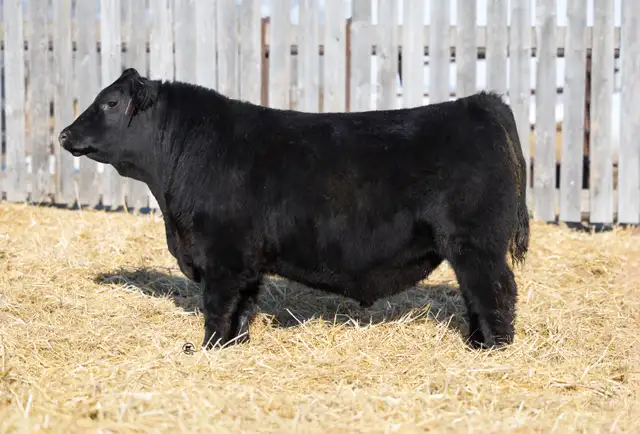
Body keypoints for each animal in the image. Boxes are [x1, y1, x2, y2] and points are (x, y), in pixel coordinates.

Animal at [59, 68, 530, 351]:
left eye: (109, 103)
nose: (63, 134)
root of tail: (479, 102)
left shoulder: (224, 255)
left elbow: (218, 306)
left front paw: (209, 348)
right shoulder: (245, 260)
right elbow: (242, 306)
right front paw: (234, 346)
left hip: (477, 244)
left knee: (496, 291)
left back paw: (494, 349)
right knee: (475, 294)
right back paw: (476, 344)